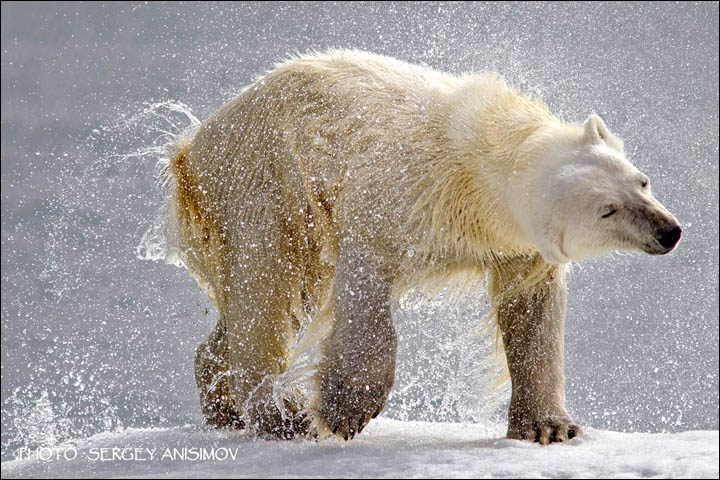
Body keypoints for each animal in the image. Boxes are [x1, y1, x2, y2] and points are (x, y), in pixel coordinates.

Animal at [160, 50, 684, 444]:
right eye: (607, 210)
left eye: (642, 181)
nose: (669, 231)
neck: (481, 155)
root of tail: (191, 146)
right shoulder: (401, 195)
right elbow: (365, 284)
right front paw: (345, 408)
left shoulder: (509, 241)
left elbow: (532, 313)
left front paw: (548, 426)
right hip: (265, 182)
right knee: (265, 285)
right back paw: (280, 414)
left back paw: (223, 401)